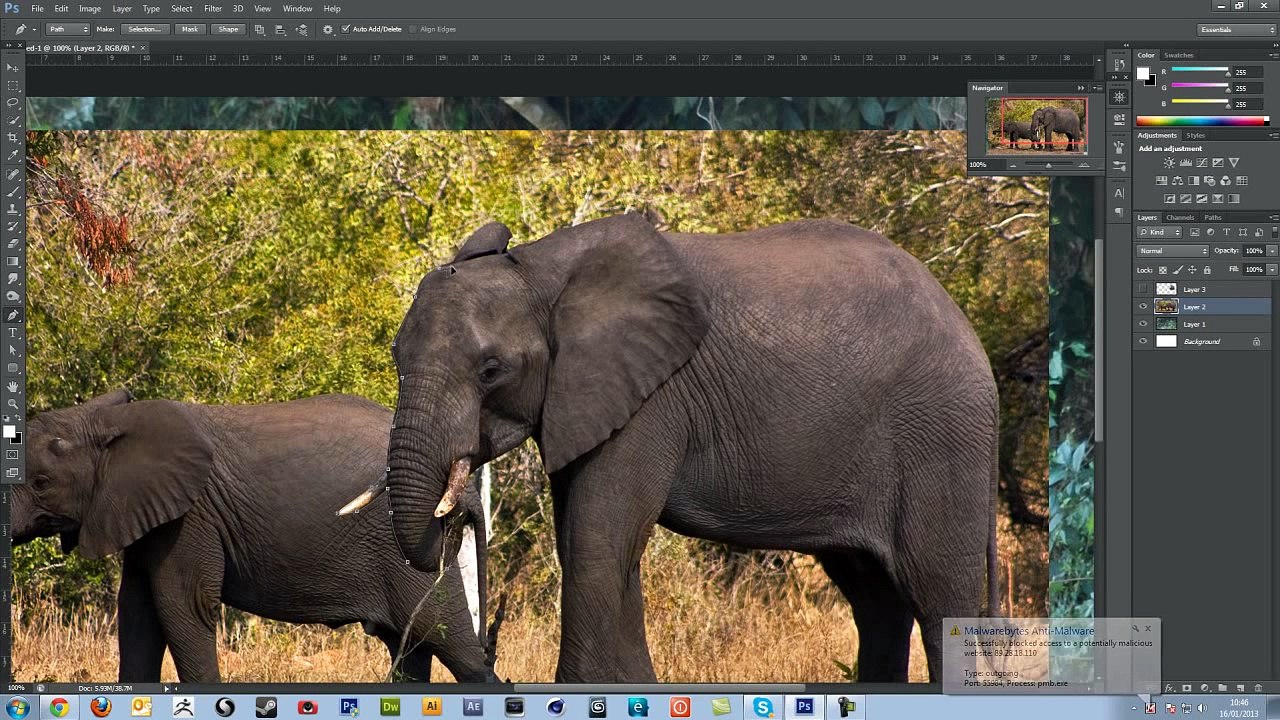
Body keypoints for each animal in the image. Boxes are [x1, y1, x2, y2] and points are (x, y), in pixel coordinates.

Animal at [12, 390, 499, 683]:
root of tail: (461, 480)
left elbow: (183, 606)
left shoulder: (190, 519)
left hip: (411, 549)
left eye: (40, 483)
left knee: (452, 644)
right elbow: (137, 611)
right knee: (411, 646)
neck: (110, 419)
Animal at [342, 213, 1000, 683]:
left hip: (941, 436)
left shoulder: (649, 400)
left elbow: (597, 542)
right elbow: (597, 545)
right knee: (876, 600)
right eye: (397, 357)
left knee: (938, 594)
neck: (539, 270)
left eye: (490, 370)